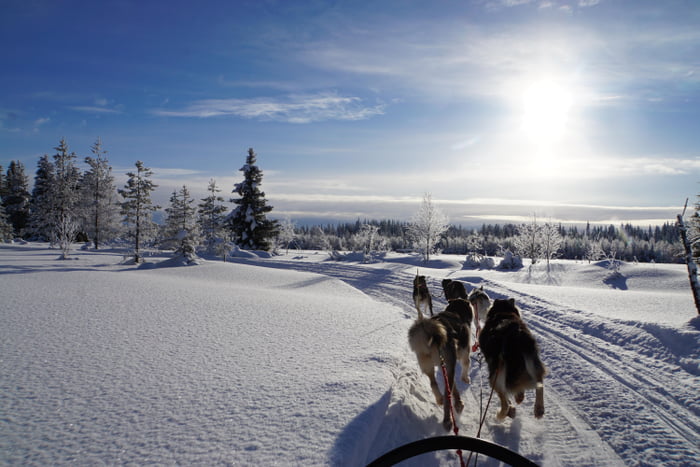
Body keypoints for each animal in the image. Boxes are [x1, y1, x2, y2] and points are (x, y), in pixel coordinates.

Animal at [408, 300, 474, 432]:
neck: (456, 312)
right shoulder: (461, 356)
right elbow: (466, 365)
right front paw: (465, 379)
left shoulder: (446, 367)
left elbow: (453, 387)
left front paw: (458, 402)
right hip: (450, 362)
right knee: (447, 398)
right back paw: (447, 420)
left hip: (428, 366)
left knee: (433, 384)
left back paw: (439, 399)